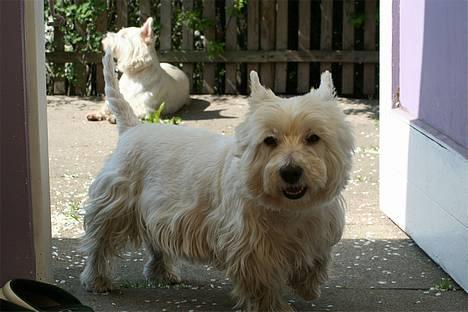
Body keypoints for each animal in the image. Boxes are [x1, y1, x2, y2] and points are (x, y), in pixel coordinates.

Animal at [81, 49, 354, 312]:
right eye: (269, 140)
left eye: (313, 137)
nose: (290, 172)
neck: (289, 210)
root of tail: (133, 127)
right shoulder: (250, 245)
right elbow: (263, 283)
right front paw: (275, 307)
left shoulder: (318, 227)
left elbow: (316, 261)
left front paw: (308, 287)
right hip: (116, 202)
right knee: (100, 243)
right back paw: (97, 280)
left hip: (154, 208)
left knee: (155, 238)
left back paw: (163, 274)